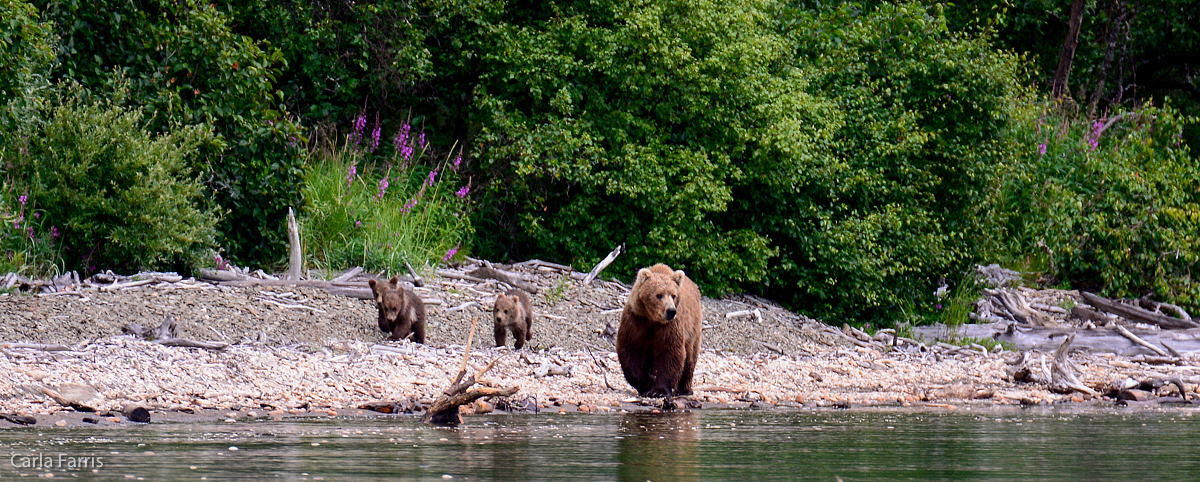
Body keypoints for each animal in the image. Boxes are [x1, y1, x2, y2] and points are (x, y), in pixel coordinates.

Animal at [619, 264, 700, 398]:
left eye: (673, 295)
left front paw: (659, 391)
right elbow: (630, 350)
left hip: (693, 328)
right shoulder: (636, 320)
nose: (671, 311)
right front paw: (647, 384)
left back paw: (684, 389)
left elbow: (670, 352)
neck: (652, 318)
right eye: (659, 295)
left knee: (690, 356)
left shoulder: (670, 326)